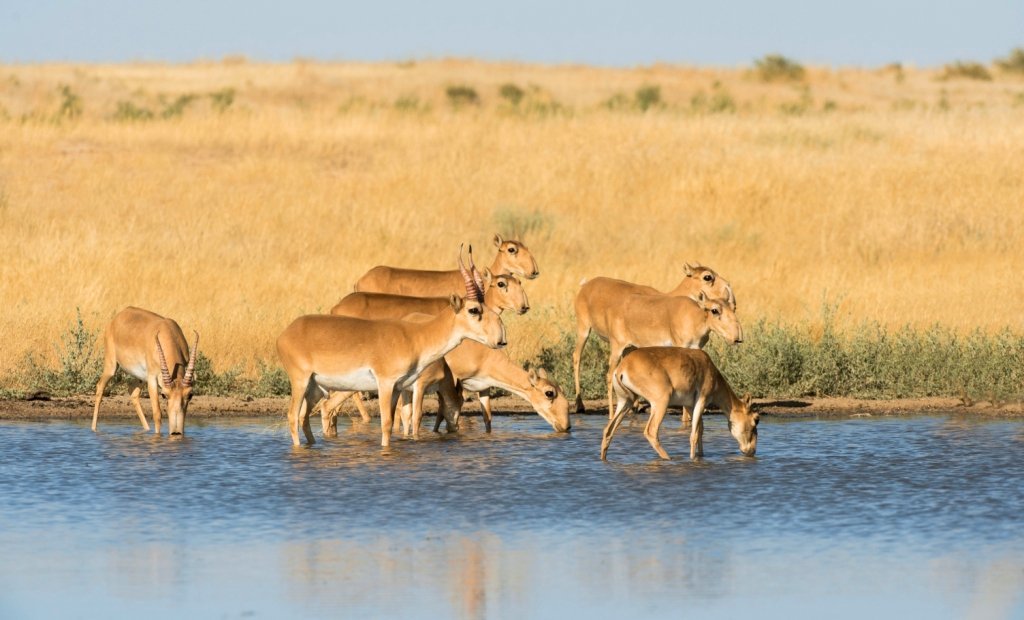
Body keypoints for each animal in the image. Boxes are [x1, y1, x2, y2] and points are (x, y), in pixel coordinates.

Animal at [94, 305, 201, 434]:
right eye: (164, 395)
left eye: (190, 395)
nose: (176, 432)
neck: (168, 333)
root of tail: (118, 316)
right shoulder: (152, 379)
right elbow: (157, 414)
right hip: (111, 367)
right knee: (100, 386)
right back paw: (93, 430)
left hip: (141, 378)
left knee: (133, 392)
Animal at [278, 244, 505, 444]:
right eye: (473, 310)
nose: (500, 340)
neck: (416, 337)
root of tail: (287, 332)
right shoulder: (385, 384)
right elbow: (387, 423)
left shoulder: (398, 388)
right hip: (300, 382)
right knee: (292, 416)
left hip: (315, 388)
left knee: (304, 418)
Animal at [598, 348, 761, 459]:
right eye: (756, 420)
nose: (752, 451)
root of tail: (622, 367)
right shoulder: (701, 400)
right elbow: (694, 434)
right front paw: (692, 459)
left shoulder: (689, 405)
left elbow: (700, 430)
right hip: (660, 402)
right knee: (651, 431)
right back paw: (668, 458)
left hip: (626, 402)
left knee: (608, 430)